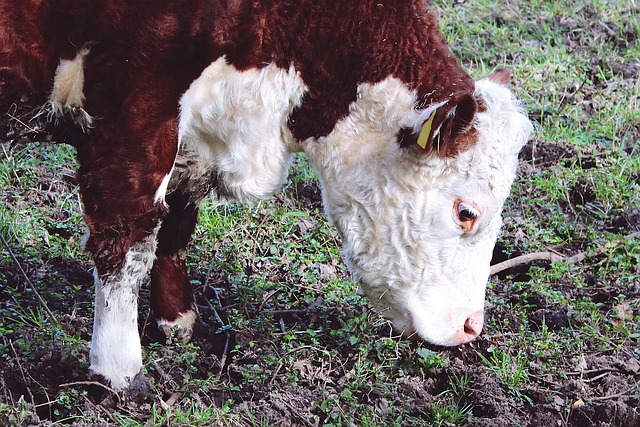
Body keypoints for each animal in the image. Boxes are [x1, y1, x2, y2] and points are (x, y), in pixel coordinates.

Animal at [0, 0, 532, 392]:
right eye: (467, 212)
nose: (472, 326)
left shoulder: (194, 132)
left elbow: (178, 217)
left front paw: (176, 320)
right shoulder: (135, 110)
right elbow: (128, 237)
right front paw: (120, 369)